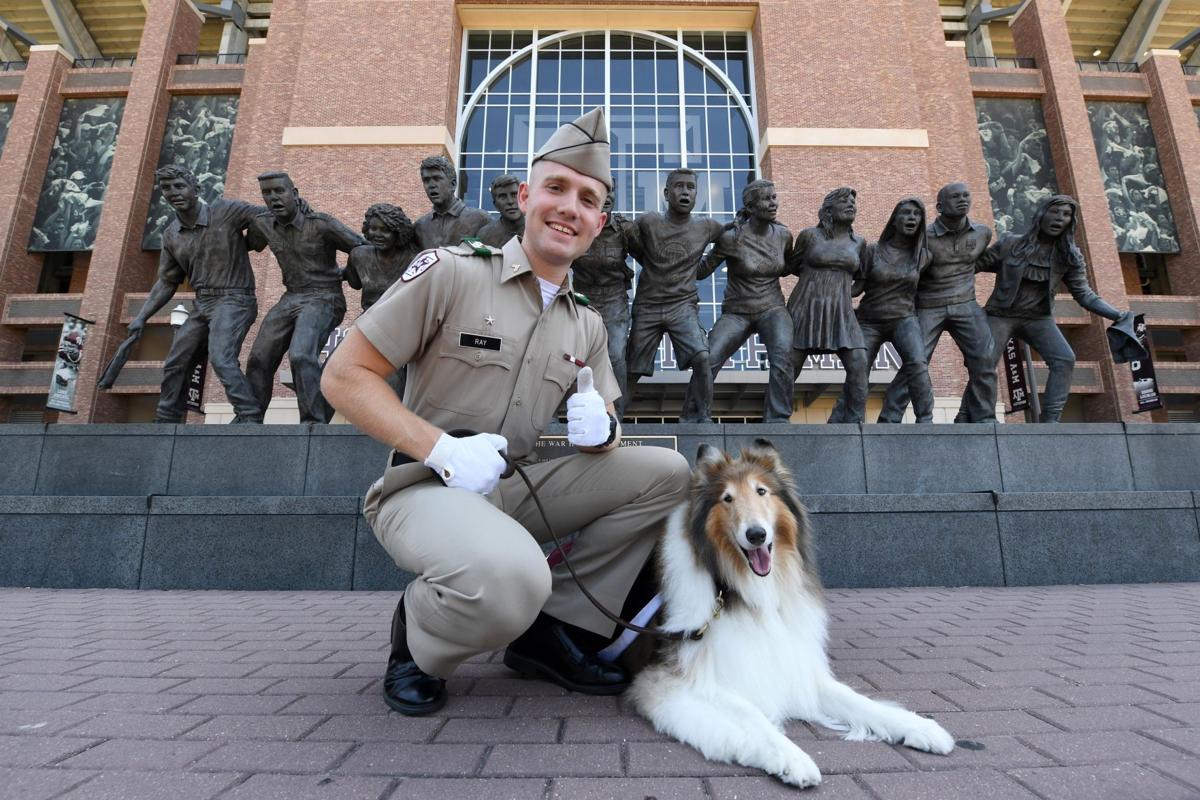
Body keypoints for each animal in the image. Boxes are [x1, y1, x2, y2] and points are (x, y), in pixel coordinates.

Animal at [628, 441, 955, 791]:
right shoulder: (671, 681)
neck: (744, 591)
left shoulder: (795, 666)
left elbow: (857, 700)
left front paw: (919, 726)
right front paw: (790, 757)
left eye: (761, 491)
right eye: (727, 498)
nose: (756, 534)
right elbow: (751, 713)